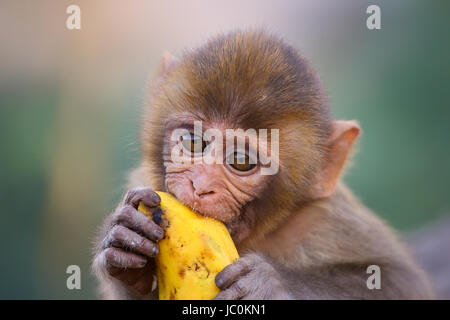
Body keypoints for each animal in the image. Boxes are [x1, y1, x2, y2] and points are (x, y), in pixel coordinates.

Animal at [91, 28, 432, 298]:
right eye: (193, 142)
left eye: (241, 162)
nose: (200, 187)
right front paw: (124, 241)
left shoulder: (325, 216)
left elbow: (396, 279)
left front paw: (272, 284)